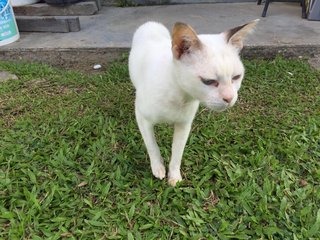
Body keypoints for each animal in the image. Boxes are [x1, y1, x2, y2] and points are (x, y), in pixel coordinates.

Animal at [129, 20, 258, 186]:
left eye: (236, 77)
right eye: (209, 81)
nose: (229, 98)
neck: (180, 95)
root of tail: (151, 23)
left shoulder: (184, 125)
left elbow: (177, 153)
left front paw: (174, 177)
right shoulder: (142, 118)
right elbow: (152, 146)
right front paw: (158, 168)